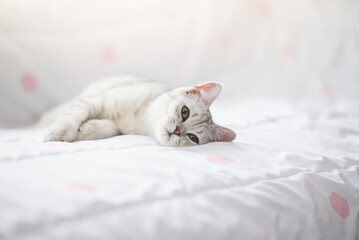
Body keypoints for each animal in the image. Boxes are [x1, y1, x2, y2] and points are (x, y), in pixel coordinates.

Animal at [38, 75, 236, 146]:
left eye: (193, 138)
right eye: (184, 112)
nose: (177, 131)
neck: (141, 118)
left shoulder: (119, 128)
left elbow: (109, 127)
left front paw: (85, 129)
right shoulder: (96, 100)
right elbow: (75, 114)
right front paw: (60, 132)